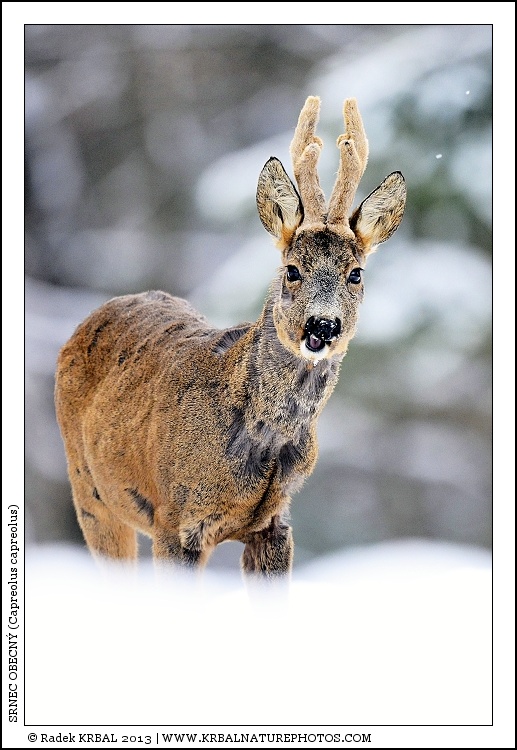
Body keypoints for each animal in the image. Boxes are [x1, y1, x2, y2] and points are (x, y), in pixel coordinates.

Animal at [55, 96, 406, 582]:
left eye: (356, 274)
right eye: (292, 269)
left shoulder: (274, 523)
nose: (323, 325)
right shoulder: (173, 519)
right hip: (89, 492)